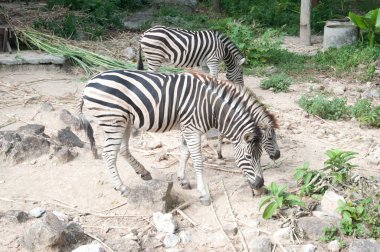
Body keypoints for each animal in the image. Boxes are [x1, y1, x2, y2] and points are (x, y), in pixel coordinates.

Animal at [78, 69, 274, 205]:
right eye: (249, 156)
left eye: (260, 155)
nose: (260, 184)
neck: (211, 107)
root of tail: (89, 83)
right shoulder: (193, 129)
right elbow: (197, 160)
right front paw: (204, 193)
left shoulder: (188, 128)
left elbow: (185, 153)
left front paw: (183, 180)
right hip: (113, 121)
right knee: (109, 155)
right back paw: (122, 187)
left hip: (124, 120)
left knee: (123, 149)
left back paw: (143, 172)